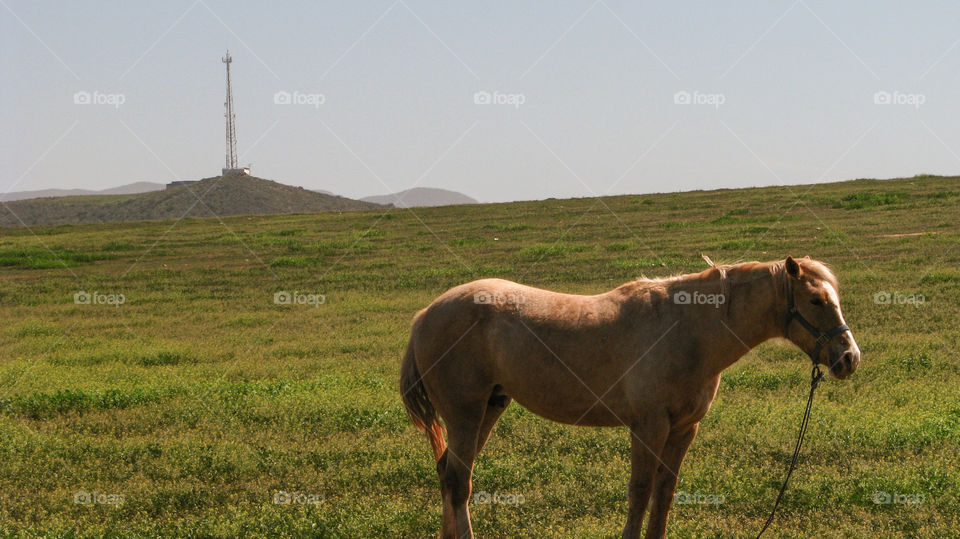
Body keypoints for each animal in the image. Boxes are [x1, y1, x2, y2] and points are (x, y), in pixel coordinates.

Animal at [400, 256, 860, 538]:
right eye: (817, 300)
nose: (849, 358)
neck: (687, 329)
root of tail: (425, 315)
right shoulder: (647, 426)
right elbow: (640, 491)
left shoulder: (683, 429)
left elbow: (664, 493)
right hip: (465, 413)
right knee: (459, 481)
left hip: (489, 408)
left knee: (448, 473)